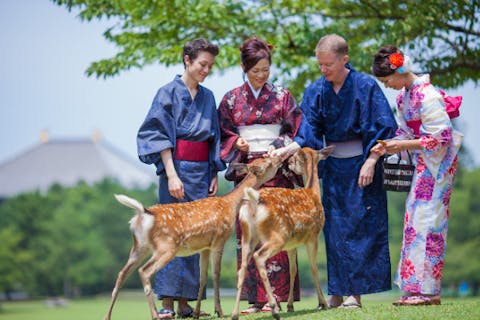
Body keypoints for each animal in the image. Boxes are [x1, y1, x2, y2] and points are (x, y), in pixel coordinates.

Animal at [103, 156, 284, 320]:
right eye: (268, 162)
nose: (280, 160)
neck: (231, 205)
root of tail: (143, 214)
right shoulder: (219, 240)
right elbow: (216, 275)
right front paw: (219, 311)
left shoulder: (204, 247)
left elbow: (203, 277)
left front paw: (197, 313)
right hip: (166, 247)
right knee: (144, 271)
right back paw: (155, 315)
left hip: (139, 246)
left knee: (122, 274)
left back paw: (107, 316)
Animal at [232, 146, 334, 318]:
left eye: (292, 160)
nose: (287, 165)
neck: (313, 193)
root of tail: (253, 201)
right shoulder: (313, 235)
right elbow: (314, 268)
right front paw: (323, 304)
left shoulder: (292, 245)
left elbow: (293, 270)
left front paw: (291, 306)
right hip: (278, 235)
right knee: (259, 257)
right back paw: (273, 308)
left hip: (248, 236)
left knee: (242, 267)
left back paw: (234, 314)